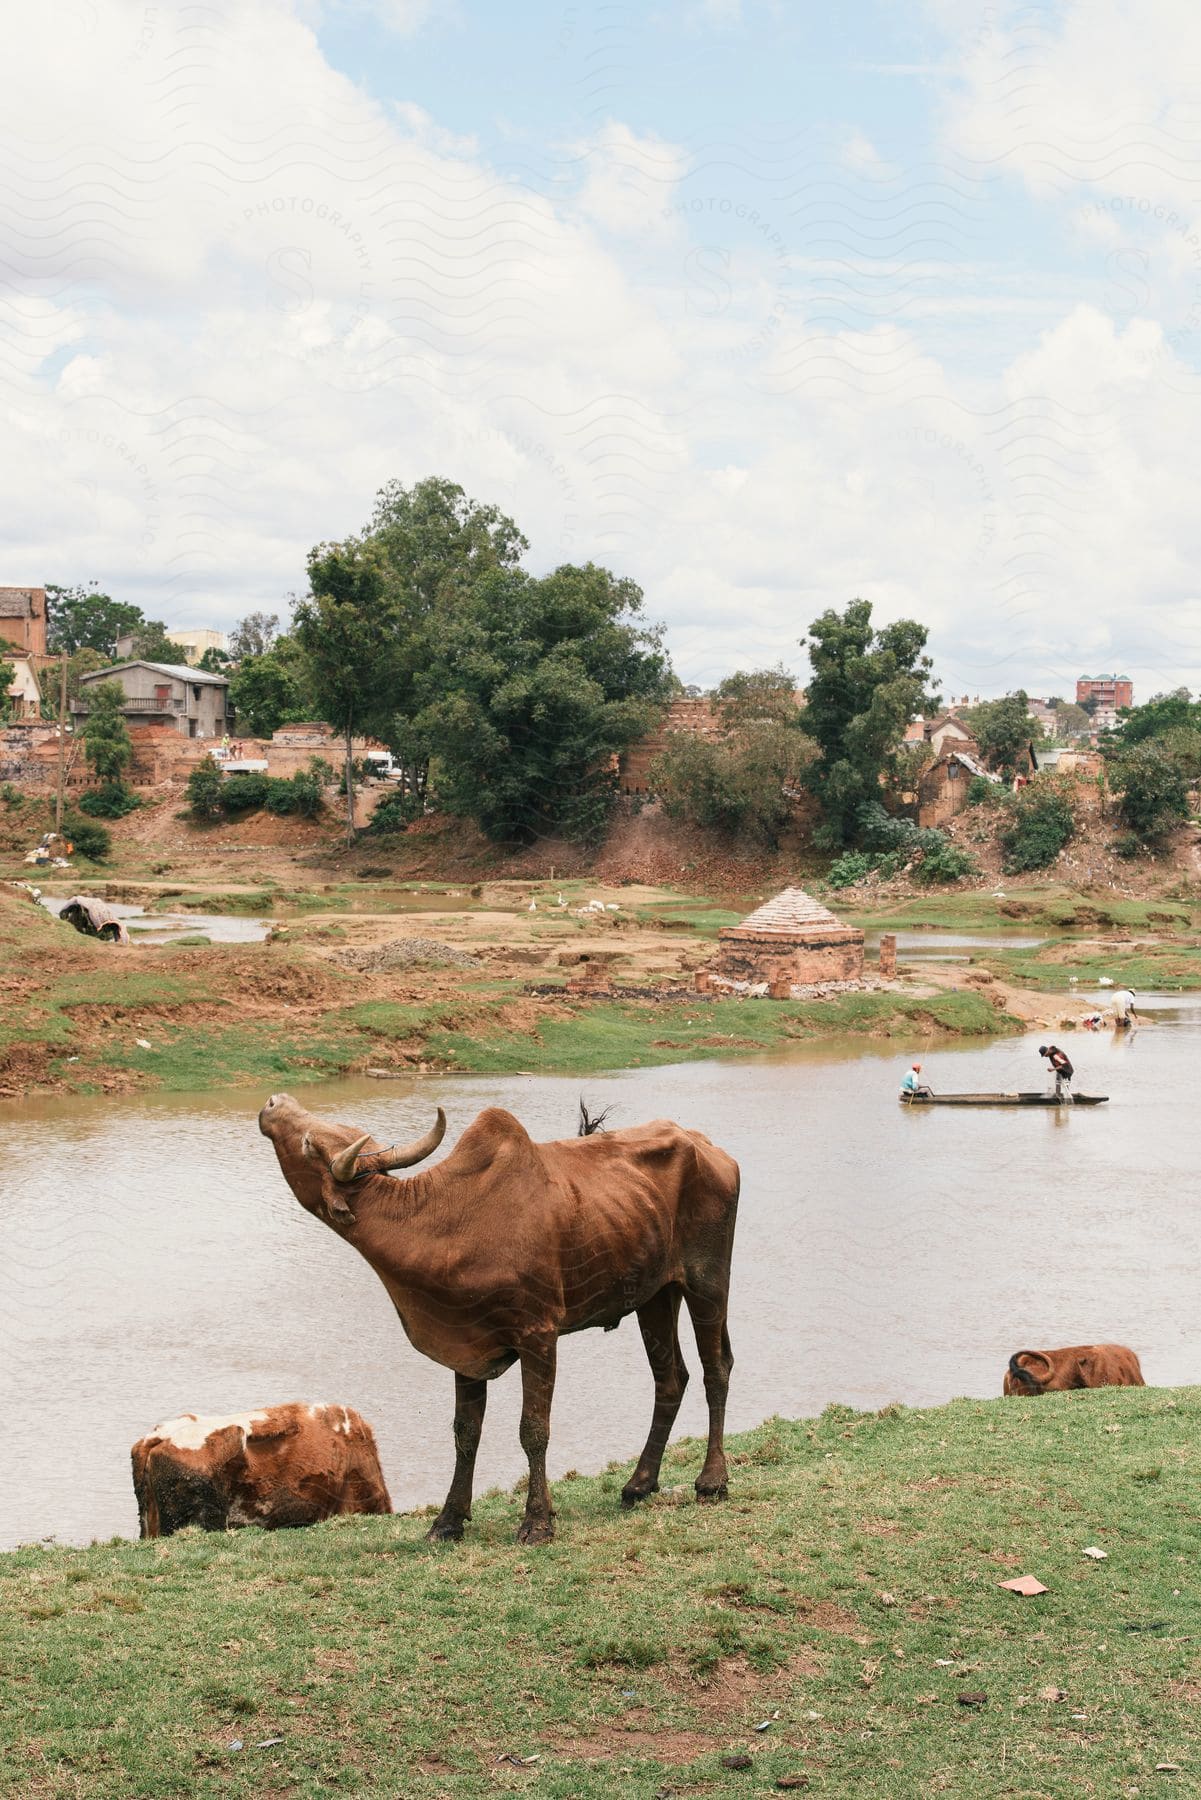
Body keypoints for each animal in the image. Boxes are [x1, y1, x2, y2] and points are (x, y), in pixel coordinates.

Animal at [259, 1094, 738, 1548]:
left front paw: (538, 1522)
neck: (437, 1224)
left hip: (707, 1281)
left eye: (309, 1143)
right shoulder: (463, 1344)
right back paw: (640, 1483)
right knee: (670, 1378)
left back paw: (711, 1480)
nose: (274, 1103)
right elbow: (465, 1432)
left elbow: (534, 1430)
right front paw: (448, 1521)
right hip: (655, 1295)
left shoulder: (539, 1335)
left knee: (715, 1368)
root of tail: (708, 1147)